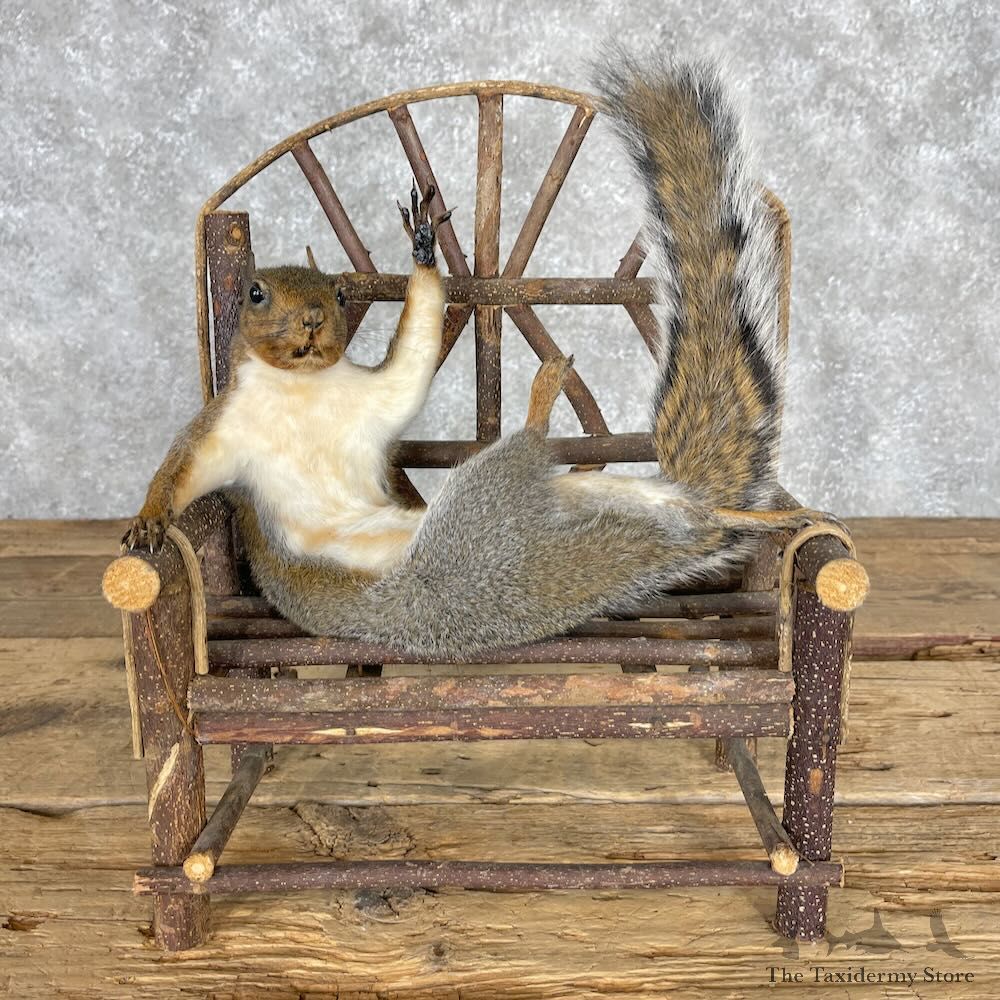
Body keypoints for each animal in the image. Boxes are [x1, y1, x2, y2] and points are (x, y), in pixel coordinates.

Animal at [126, 54, 817, 658]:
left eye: (342, 292)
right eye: (254, 292)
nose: (315, 319)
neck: (305, 388)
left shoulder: (367, 401)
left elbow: (410, 369)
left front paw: (423, 248)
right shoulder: (226, 426)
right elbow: (183, 472)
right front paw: (150, 519)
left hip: (571, 501)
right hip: (478, 518)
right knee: (530, 461)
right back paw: (545, 400)